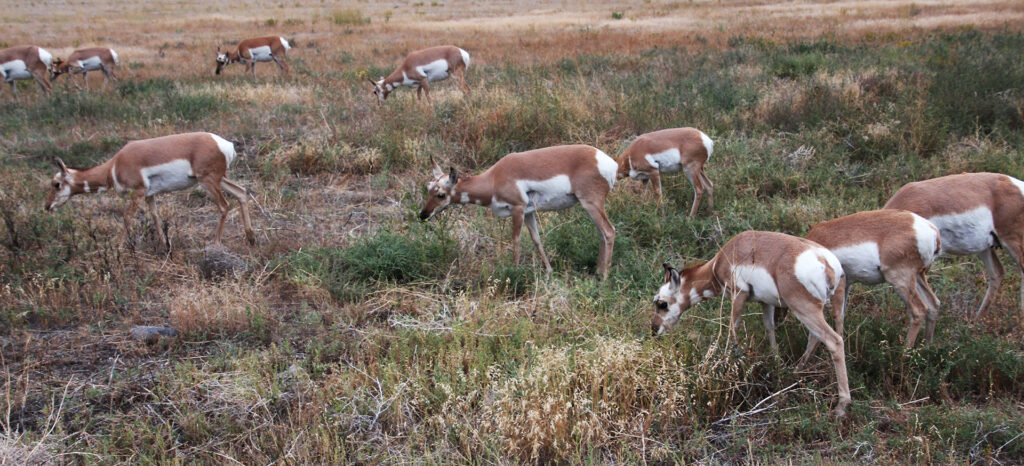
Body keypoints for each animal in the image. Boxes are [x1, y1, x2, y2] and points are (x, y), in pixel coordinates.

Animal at [45, 131, 256, 249]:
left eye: (56, 184)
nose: (47, 206)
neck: (115, 165)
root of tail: (224, 144)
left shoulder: (137, 194)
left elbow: (127, 218)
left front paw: (117, 248)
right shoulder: (150, 196)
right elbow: (155, 216)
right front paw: (164, 245)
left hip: (208, 182)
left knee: (224, 206)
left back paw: (215, 243)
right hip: (220, 179)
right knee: (241, 193)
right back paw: (251, 237)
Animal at [417, 144, 614, 278]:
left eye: (441, 194)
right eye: (428, 187)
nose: (423, 215)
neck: (494, 178)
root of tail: (608, 162)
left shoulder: (518, 209)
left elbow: (515, 240)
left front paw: (515, 271)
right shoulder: (529, 213)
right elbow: (536, 239)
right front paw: (549, 271)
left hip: (591, 204)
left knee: (609, 231)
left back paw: (604, 276)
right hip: (591, 207)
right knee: (601, 233)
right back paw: (598, 271)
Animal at [651, 231, 851, 417]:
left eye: (662, 303)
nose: (654, 330)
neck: (719, 262)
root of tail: (826, 262)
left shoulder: (738, 296)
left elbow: (732, 330)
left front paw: (730, 364)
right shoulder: (766, 302)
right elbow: (769, 329)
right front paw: (776, 363)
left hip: (804, 309)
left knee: (834, 340)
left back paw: (841, 406)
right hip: (834, 307)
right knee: (826, 335)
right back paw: (797, 371)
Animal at [802, 209, 937, 348]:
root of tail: (932, 230)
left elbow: (837, 316)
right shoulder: (847, 284)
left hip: (900, 281)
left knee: (919, 310)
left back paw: (905, 351)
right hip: (918, 276)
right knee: (933, 304)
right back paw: (928, 345)